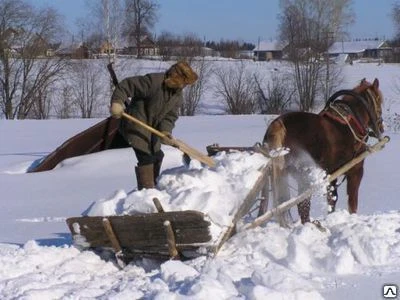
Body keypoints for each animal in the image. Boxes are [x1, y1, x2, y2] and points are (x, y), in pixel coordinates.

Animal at [262, 78, 384, 224]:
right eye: (379, 101)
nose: (381, 127)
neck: (353, 121)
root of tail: (279, 123)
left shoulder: (331, 174)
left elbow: (332, 199)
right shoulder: (356, 171)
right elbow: (352, 202)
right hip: (304, 174)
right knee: (302, 204)